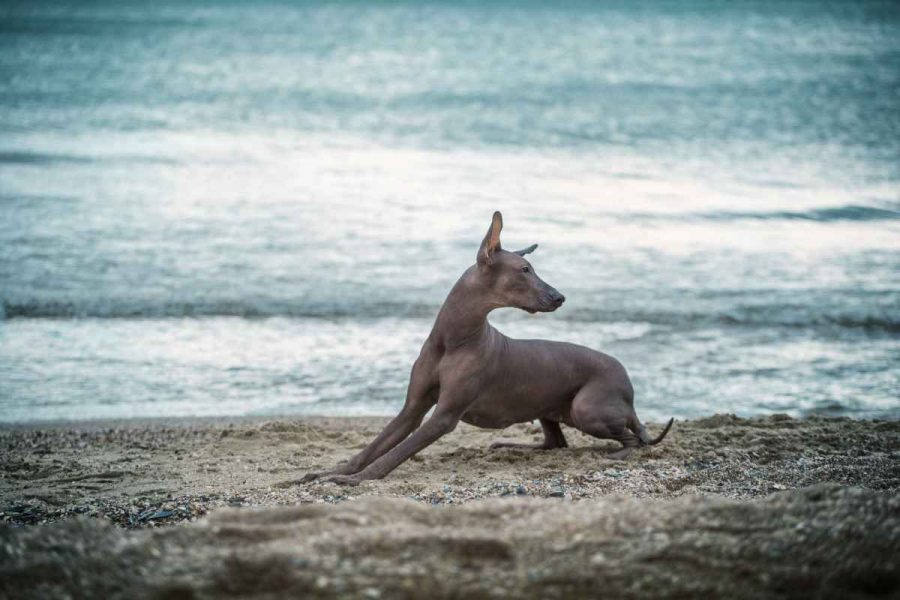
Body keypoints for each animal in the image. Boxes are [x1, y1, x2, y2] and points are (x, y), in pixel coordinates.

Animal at [302, 213, 668, 486]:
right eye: (525, 269)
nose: (560, 297)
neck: (453, 340)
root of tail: (629, 390)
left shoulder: (444, 417)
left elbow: (394, 455)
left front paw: (354, 480)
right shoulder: (412, 409)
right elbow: (375, 447)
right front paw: (333, 472)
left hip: (586, 407)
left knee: (633, 441)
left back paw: (614, 453)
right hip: (549, 406)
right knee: (555, 442)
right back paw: (512, 445)